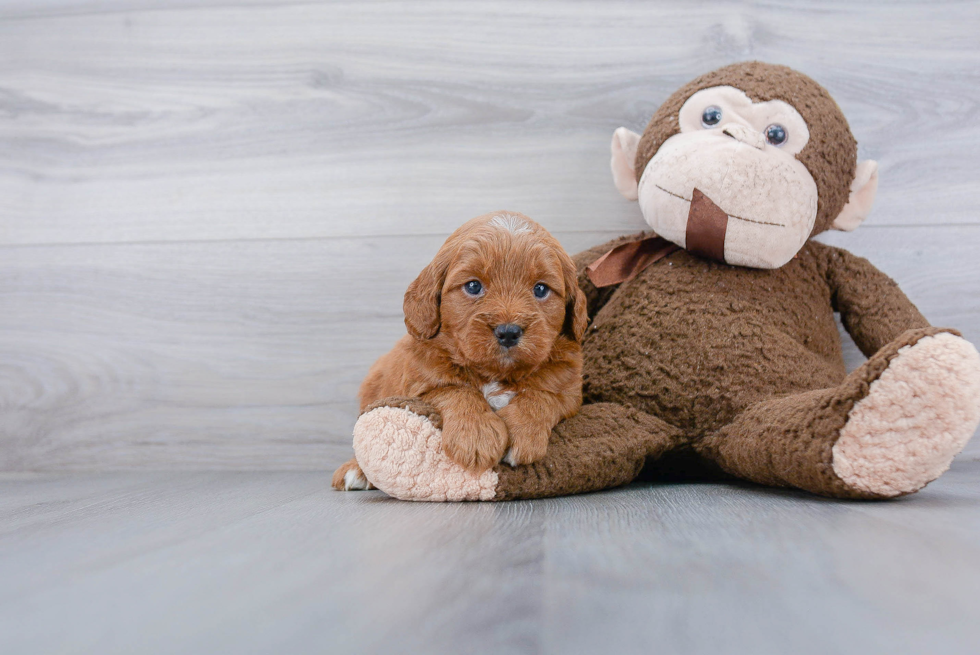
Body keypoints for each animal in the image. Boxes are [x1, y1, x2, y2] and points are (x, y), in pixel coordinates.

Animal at [334, 211, 584, 492]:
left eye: (540, 289)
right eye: (473, 286)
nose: (509, 332)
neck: (495, 374)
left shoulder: (569, 390)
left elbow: (542, 395)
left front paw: (523, 431)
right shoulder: (420, 384)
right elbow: (455, 390)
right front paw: (475, 436)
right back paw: (355, 470)